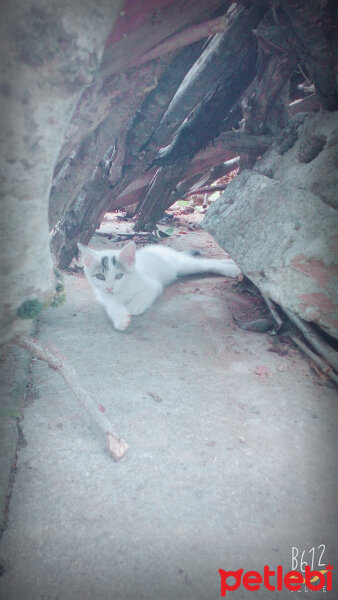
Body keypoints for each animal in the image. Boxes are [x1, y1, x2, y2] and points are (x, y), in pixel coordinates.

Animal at [77, 241, 240, 330]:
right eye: (100, 276)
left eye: (118, 276)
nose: (110, 288)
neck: (122, 290)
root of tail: (161, 249)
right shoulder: (105, 296)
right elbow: (112, 306)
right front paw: (121, 318)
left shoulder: (152, 285)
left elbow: (143, 294)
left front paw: (133, 307)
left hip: (182, 265)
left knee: (206, 263)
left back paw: (232, 267)